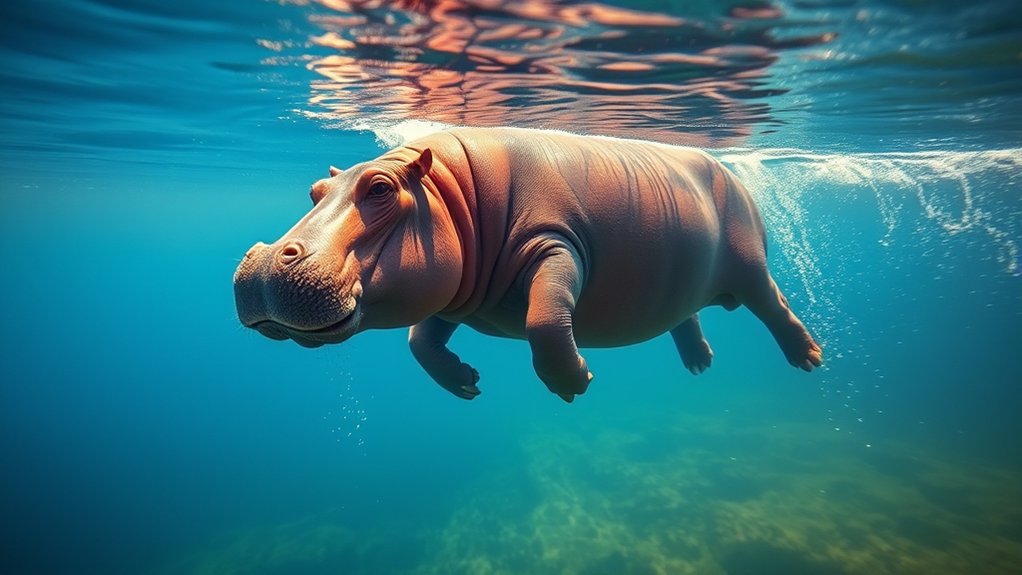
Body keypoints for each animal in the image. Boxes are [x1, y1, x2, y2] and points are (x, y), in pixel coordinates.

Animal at [234, 127, 822, 402]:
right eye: (315, 190)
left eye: (378, 188)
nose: (265, 262)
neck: (451, 191)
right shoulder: (457, 292)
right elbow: (420, 341)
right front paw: (466, 384)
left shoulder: (555, 245)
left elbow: (545, 316)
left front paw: (574, 381)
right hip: (683, 282)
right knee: (686, 313)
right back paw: (700, 362)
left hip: (749, 264)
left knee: (773, 304)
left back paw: (809, 358)